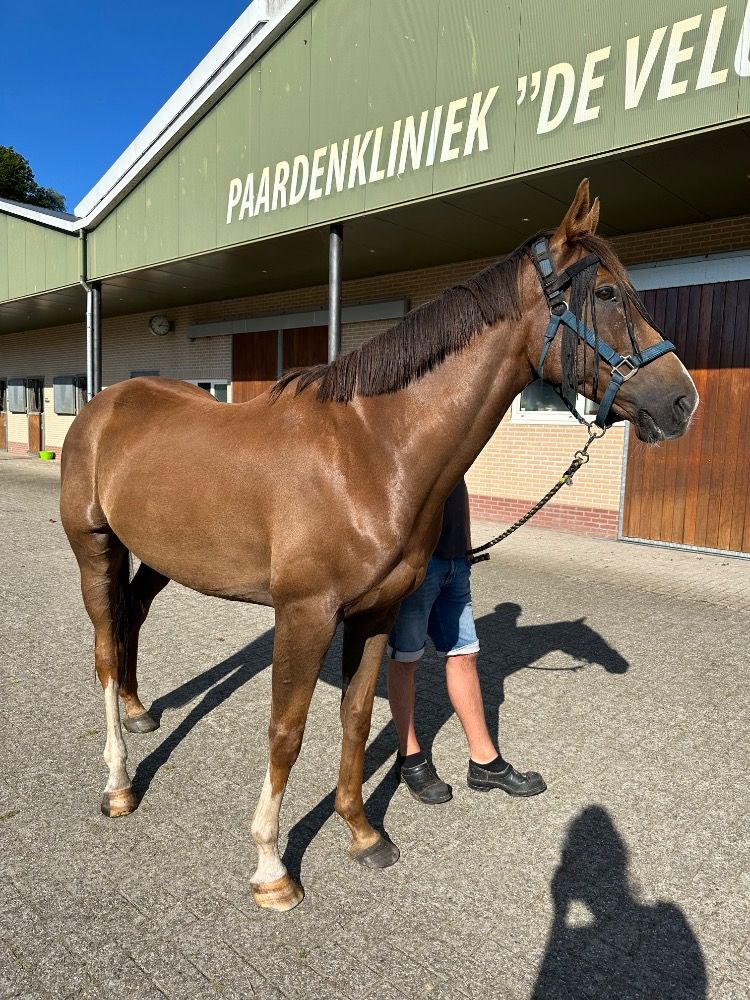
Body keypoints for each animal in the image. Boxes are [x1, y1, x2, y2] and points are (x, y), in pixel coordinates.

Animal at [60, 180, 698, 912]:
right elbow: (287, 731)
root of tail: (103, 404)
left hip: (159, 555)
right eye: (608, 294)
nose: (683, 402)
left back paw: (142, 715)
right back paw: (118, 785)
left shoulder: (376, 613)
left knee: (132, 618)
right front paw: (271, 866)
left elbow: (359, 718)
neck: (369, 451)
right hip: (95, 548)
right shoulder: (306, 616)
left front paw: (364, 835)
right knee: (105, 652)